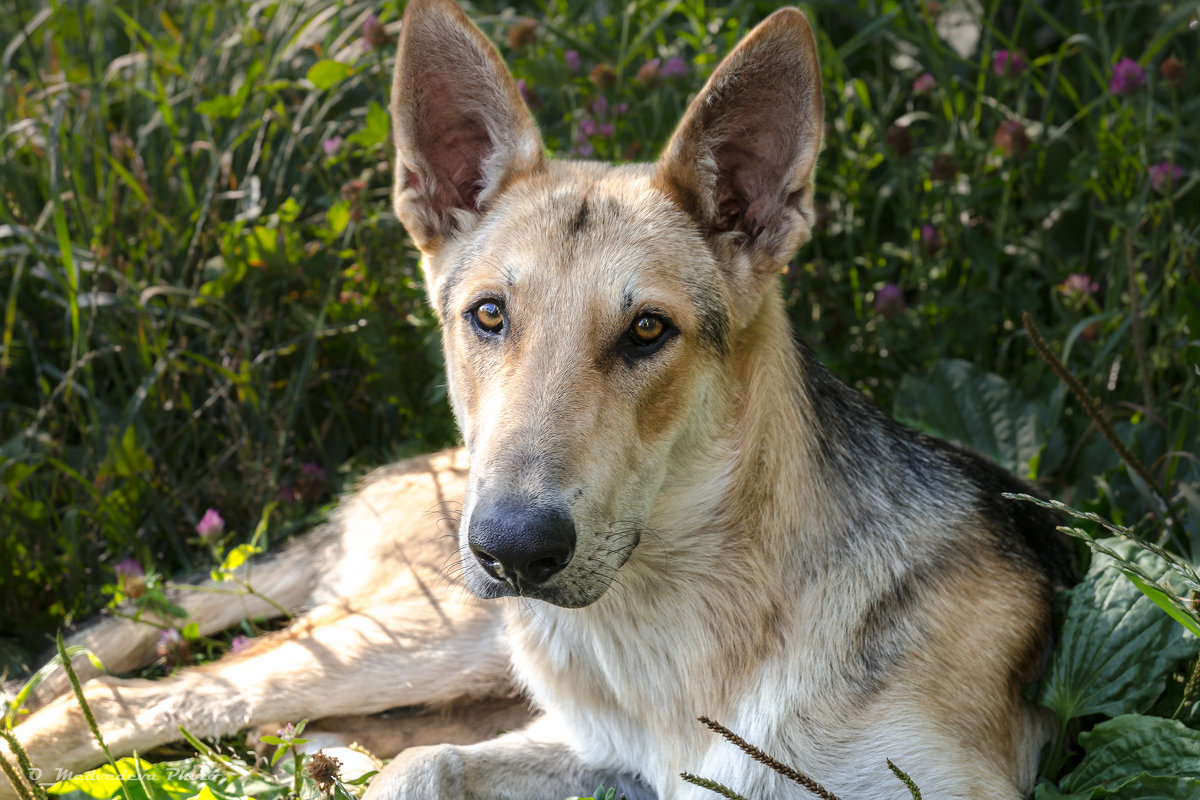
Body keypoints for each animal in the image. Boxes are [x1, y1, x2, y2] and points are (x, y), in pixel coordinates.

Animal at [0, 0, 1075, 796]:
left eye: (647, 331)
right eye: (488, 316)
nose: (513, 548)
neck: (680, 630)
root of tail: (400, 472)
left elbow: (422, 766)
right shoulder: (601, 746)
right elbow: (422, 771)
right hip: (429, 633)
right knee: (126, 702)